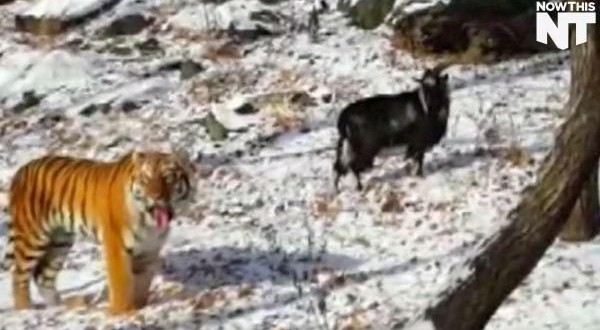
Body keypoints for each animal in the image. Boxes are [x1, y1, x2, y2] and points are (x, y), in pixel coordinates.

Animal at [3, 149, 196, 314]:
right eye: (145, 179)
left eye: (168, 177)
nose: (155, 197)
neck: (149, 224)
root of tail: (21, 170)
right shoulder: (116, 246)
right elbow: (120, 282)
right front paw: (122, 313)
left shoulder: (148, 251)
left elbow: (142, 282)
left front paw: (140, 306)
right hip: (33, 237)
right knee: (19, 275)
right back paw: (25, 309)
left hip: (60, 241)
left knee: (43, 276)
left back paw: (62, 306)